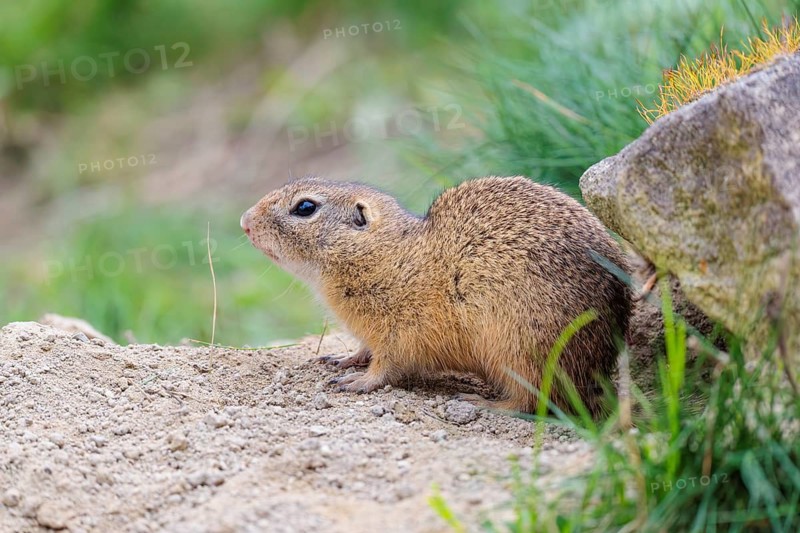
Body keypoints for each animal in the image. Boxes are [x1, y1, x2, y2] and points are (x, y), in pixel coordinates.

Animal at [241, 176, 631, 415]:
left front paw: (358, 381)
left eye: (305, 208)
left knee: (533, 401)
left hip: (521, 352)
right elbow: (364, 349)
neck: (385, 254)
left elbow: (387, 366)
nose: (244, 221)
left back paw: (479, 402)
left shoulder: (401, 331)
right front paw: (341, 360)